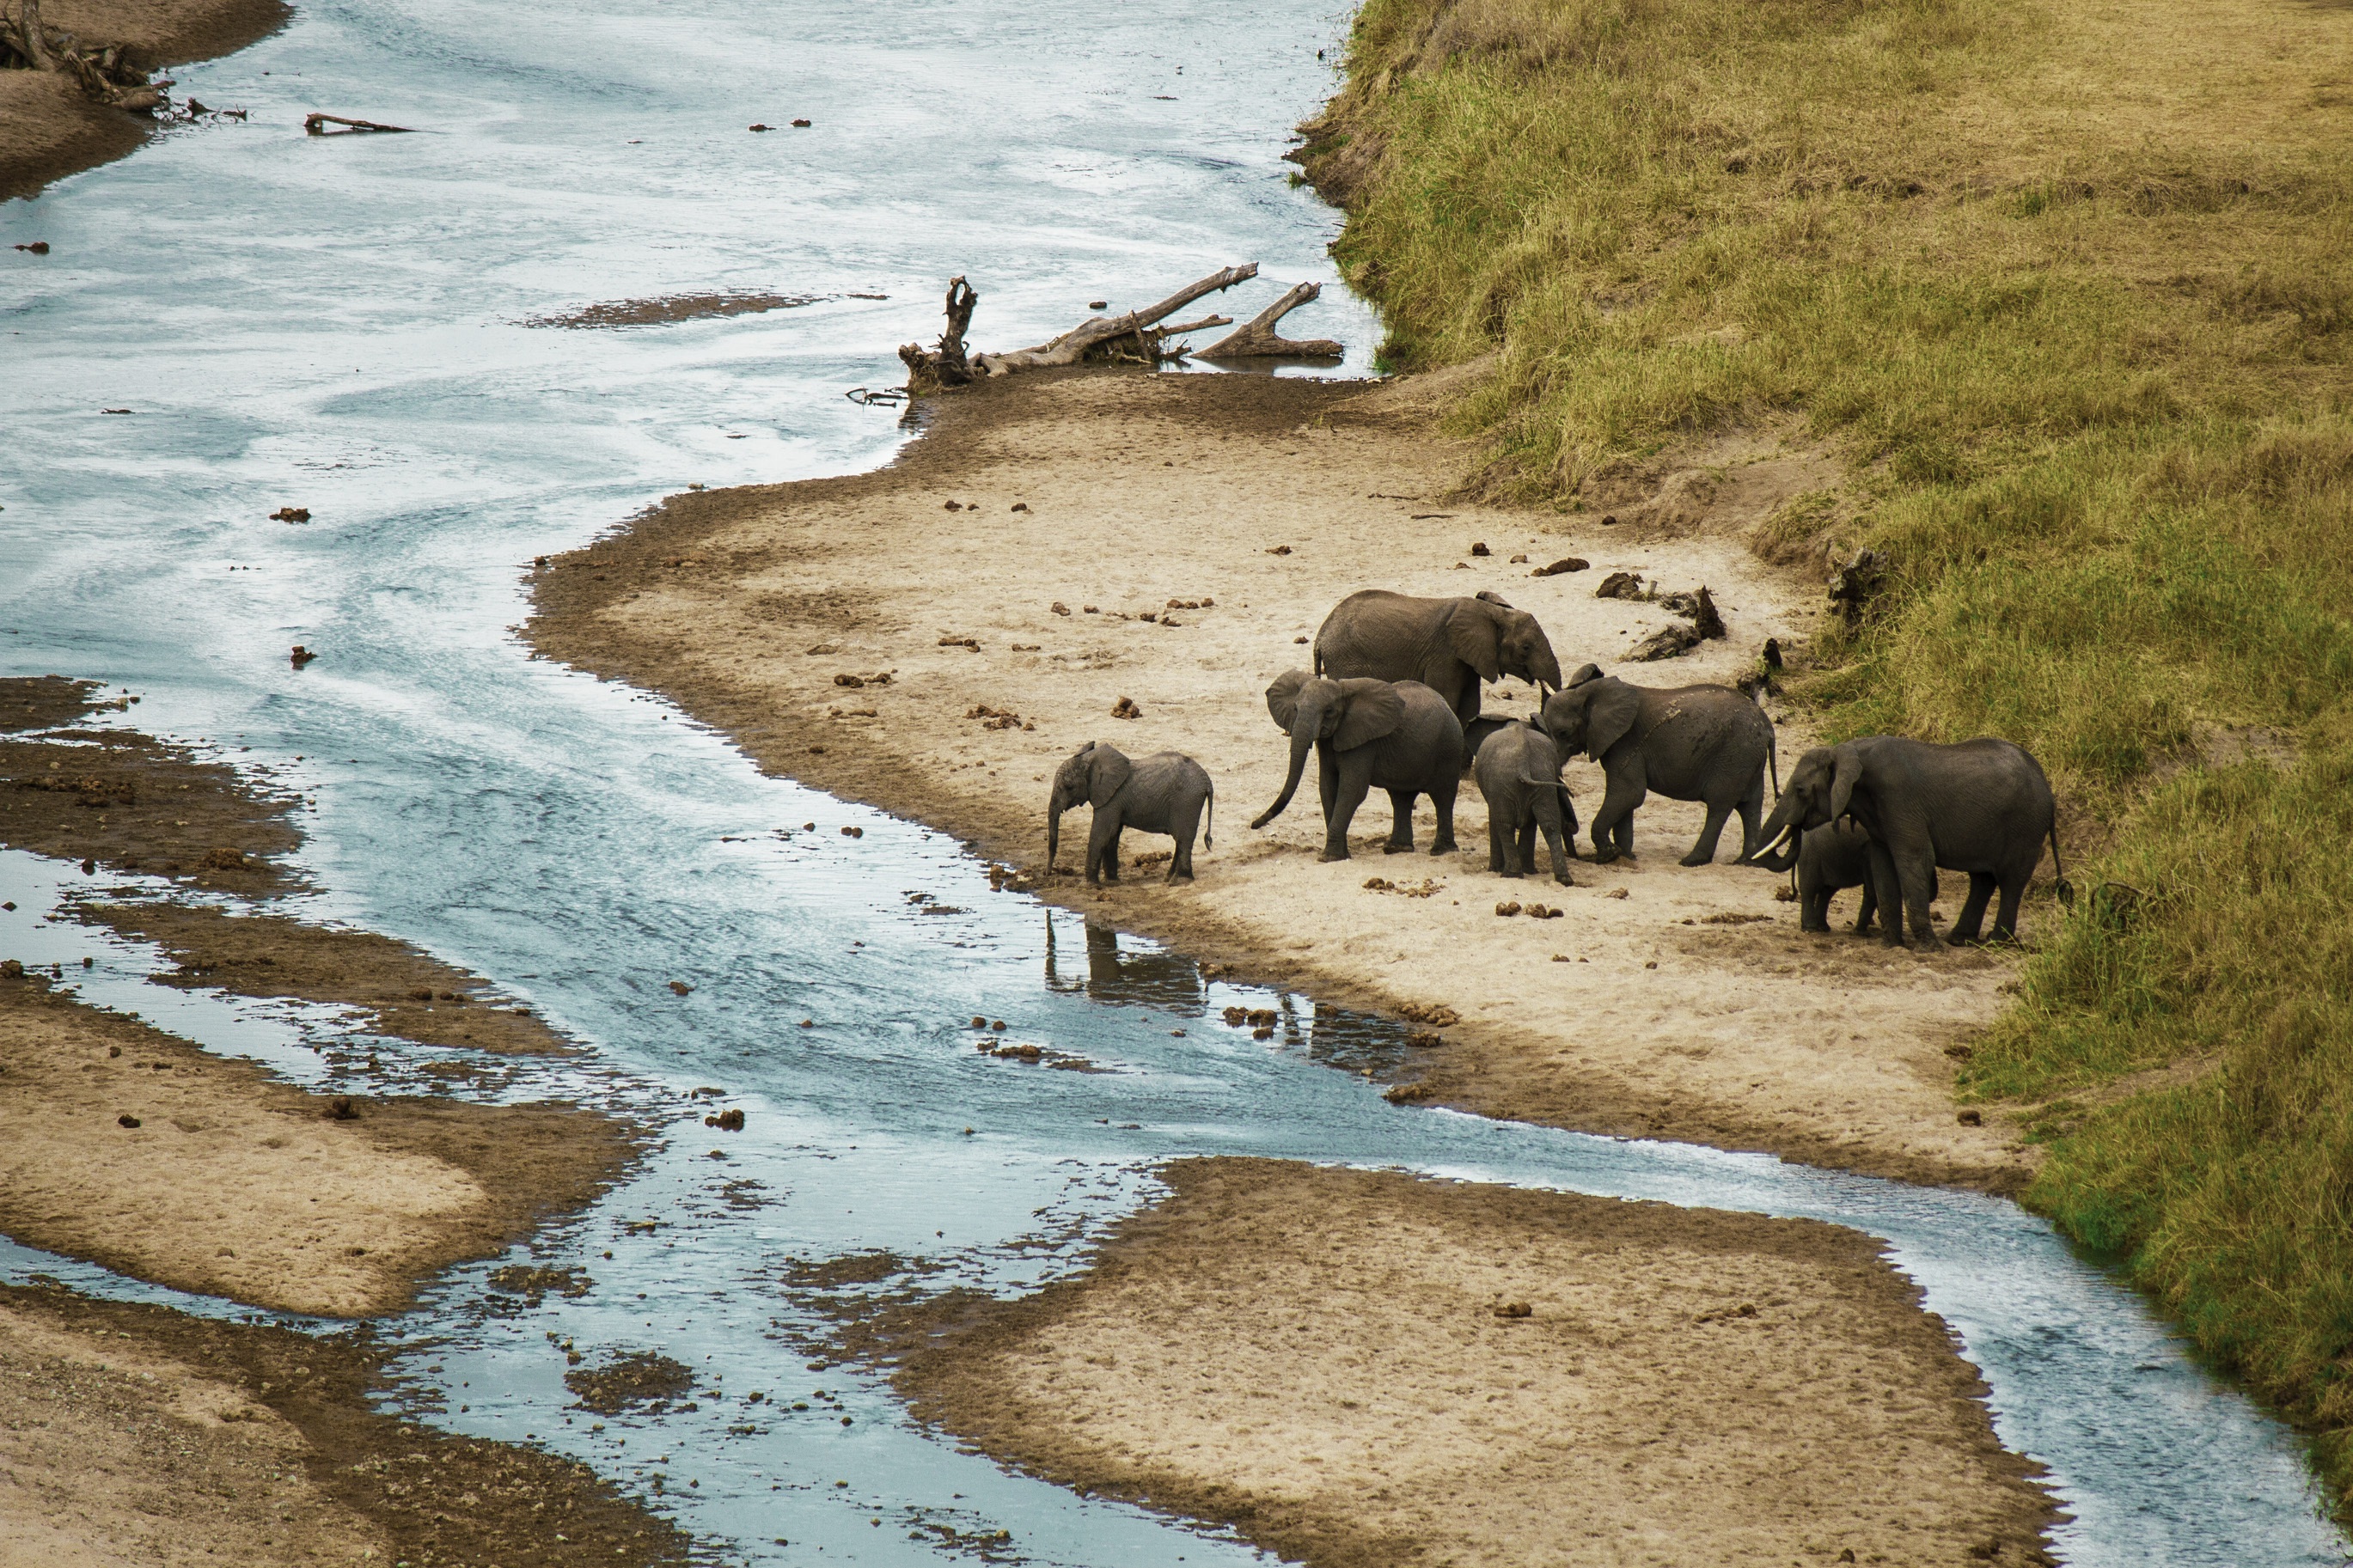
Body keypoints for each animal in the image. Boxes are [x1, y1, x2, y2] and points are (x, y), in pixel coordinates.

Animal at [1049, 738, 1213, 883]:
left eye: (1069, 787)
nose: (1048, 874)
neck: (1091, 760)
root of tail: (1207, 781)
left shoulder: (1111, 799)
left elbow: (1102, 833)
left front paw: (1090, 885)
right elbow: (1112, 835)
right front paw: (1112, 883)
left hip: (1186, 802)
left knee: (1183, 840)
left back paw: (1179, 882)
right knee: (1180, 841)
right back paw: (1168, 879)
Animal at [1242, 672, 1458, 864]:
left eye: (1329, 711)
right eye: (1295, 708)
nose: (1253, 824)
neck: (1343, 690)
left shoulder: (1363, 741)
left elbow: (1351, 790)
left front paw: (1328, 858)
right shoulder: (1329, 742)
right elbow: (1327, 787)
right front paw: (1341, 855)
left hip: (1448, 749)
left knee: (1443, 797)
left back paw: (1441, 851)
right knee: (1401, 798)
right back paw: (1397, 848)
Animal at [1317, 592, 1553, 729]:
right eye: (1526, 648)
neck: (1492, 611)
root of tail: (1322, 633)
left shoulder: (1468, 659)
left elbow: (1470, 706)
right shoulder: (1445, 655)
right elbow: (1448, 699)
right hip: (1345, 660)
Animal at [1468, 723, 1580, 883]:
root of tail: (1523, 757)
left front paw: (1494, 870)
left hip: (1503, 782)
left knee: (1505, 825)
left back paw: (1511, 874)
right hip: (1541, 779)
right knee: (1550, 825)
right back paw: (1564, 879)